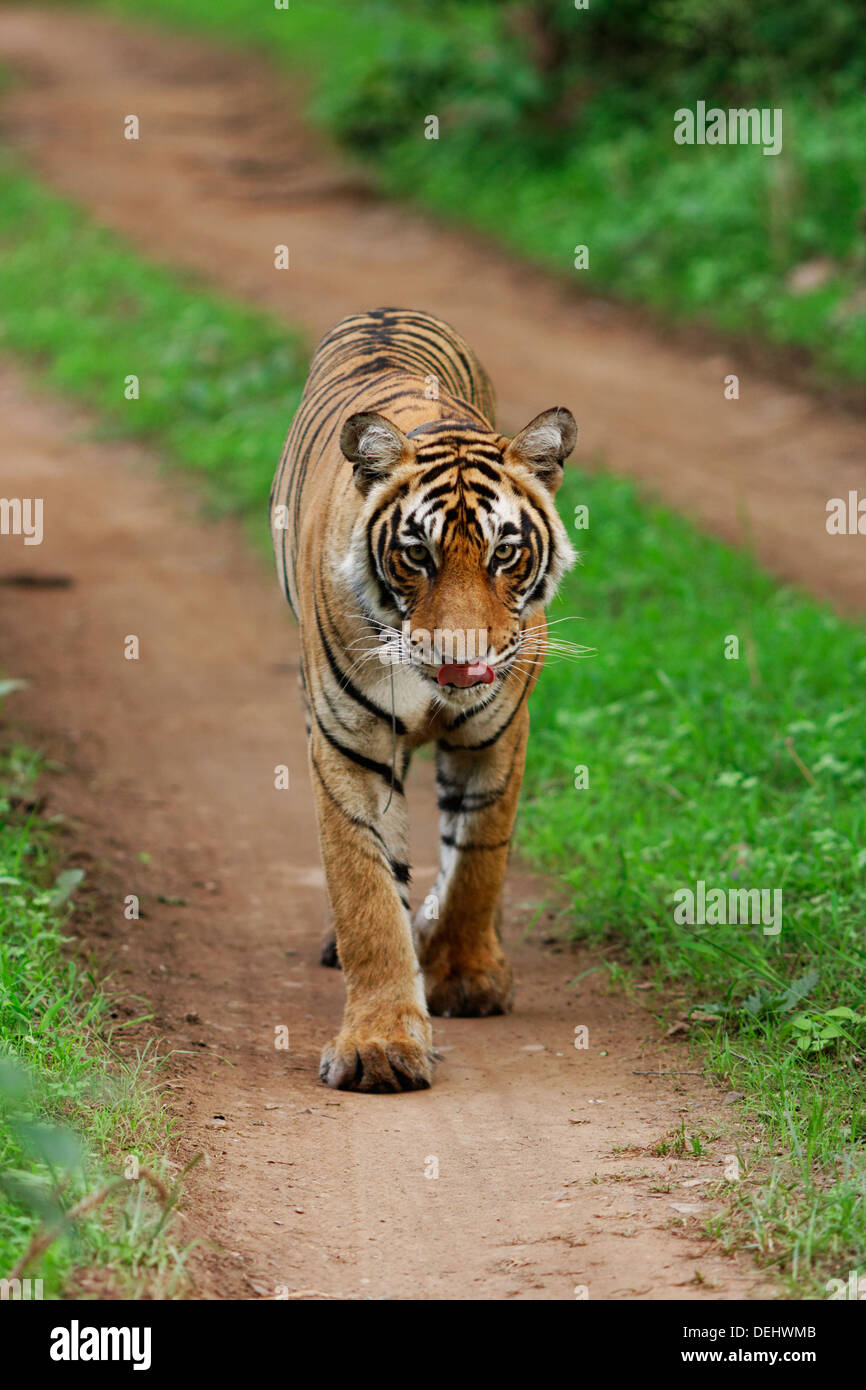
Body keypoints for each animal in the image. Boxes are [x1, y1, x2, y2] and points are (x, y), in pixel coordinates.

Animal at [271, 309, 575, 1089]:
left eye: (505, 553)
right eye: (417, 554)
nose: (459, 658)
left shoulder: (497, 736)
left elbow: (478, 860)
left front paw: (466, 975)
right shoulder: (347, 746)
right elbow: (366, 892)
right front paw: (379, 1045)